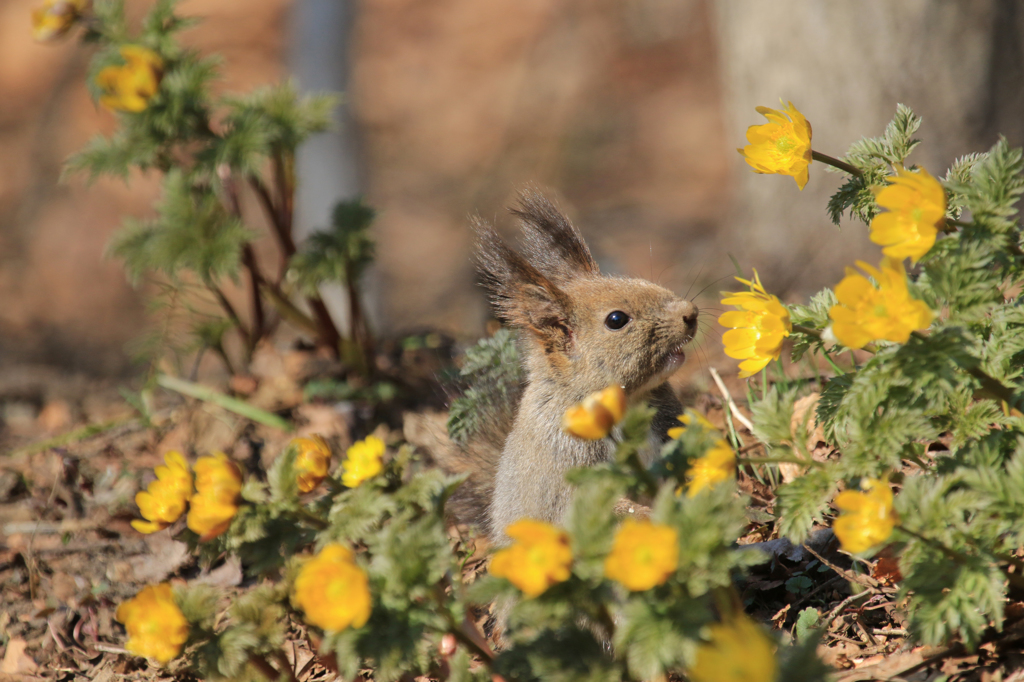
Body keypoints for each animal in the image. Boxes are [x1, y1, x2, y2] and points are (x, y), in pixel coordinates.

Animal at [403, 189, 700, 540]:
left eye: (639, 280)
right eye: (616, 320)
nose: (690, 313)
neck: (627, 401)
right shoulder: (567, 456)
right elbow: (585, 508)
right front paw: (642, 515)